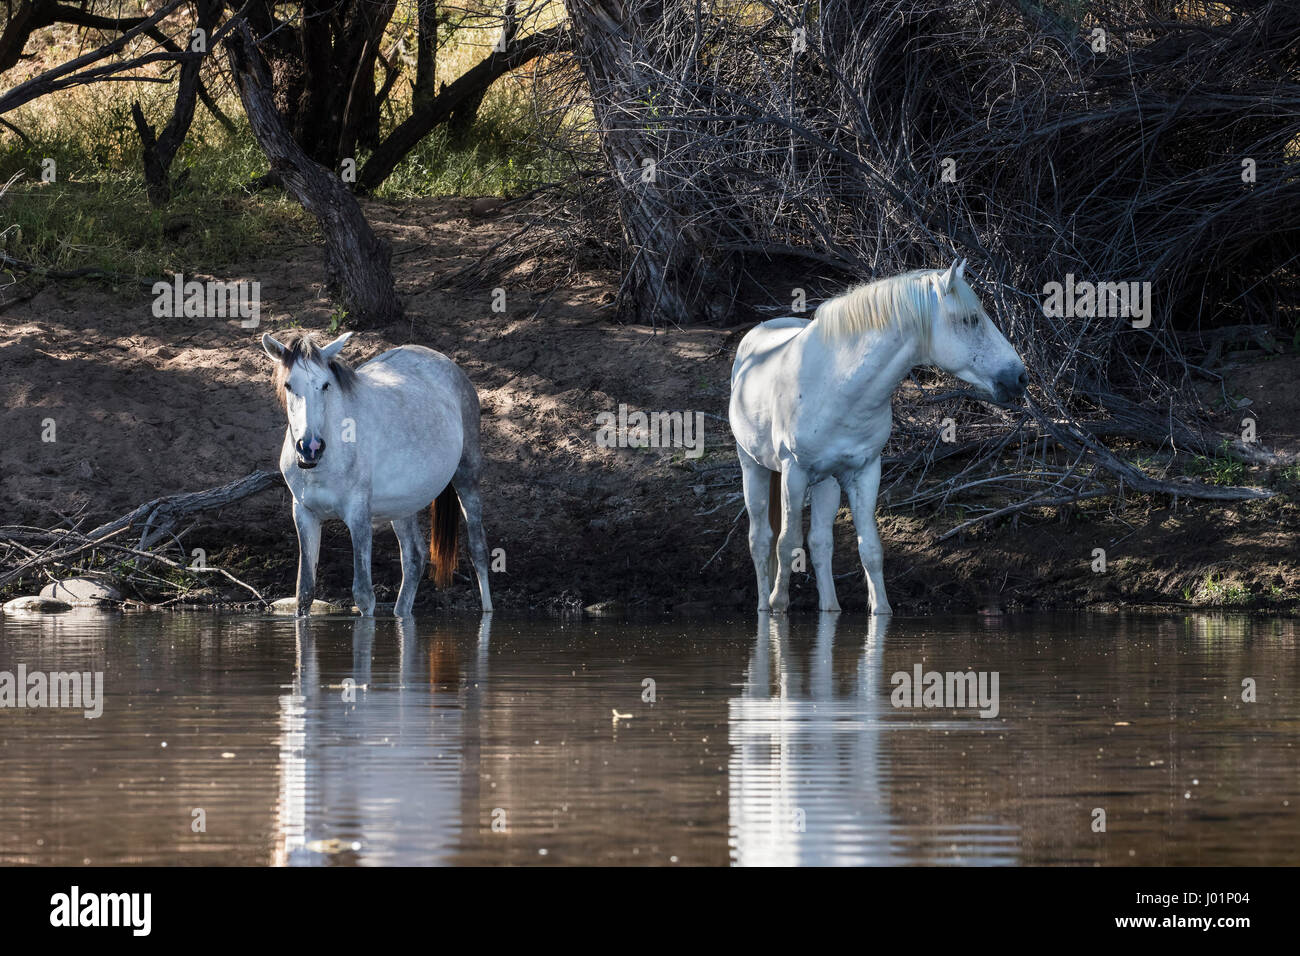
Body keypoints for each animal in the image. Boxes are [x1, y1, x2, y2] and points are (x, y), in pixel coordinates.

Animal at [262, 335, 491, 621]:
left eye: (325, 385)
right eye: (289, 385)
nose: (310, 447)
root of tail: (451, 366)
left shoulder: (359, 515)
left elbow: (363, 595)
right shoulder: (305, 514)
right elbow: (304, 592)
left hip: (467, 477)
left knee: (478, 549)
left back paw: (487, 612)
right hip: (404, 506)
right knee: (414, 557)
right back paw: (401, 614)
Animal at [733, 261, 1024, 616]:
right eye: (970, 319)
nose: (1020, 377)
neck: (838, 386)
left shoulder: (865, 472)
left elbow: (870, 548)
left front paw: (881, 609)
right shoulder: (794, 472)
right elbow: (787, 543)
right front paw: (778, 603)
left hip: (827, 483)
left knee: (820, 542)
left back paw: (830, 607)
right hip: (753, 467)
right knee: (761, 539)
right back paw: (764, 604)